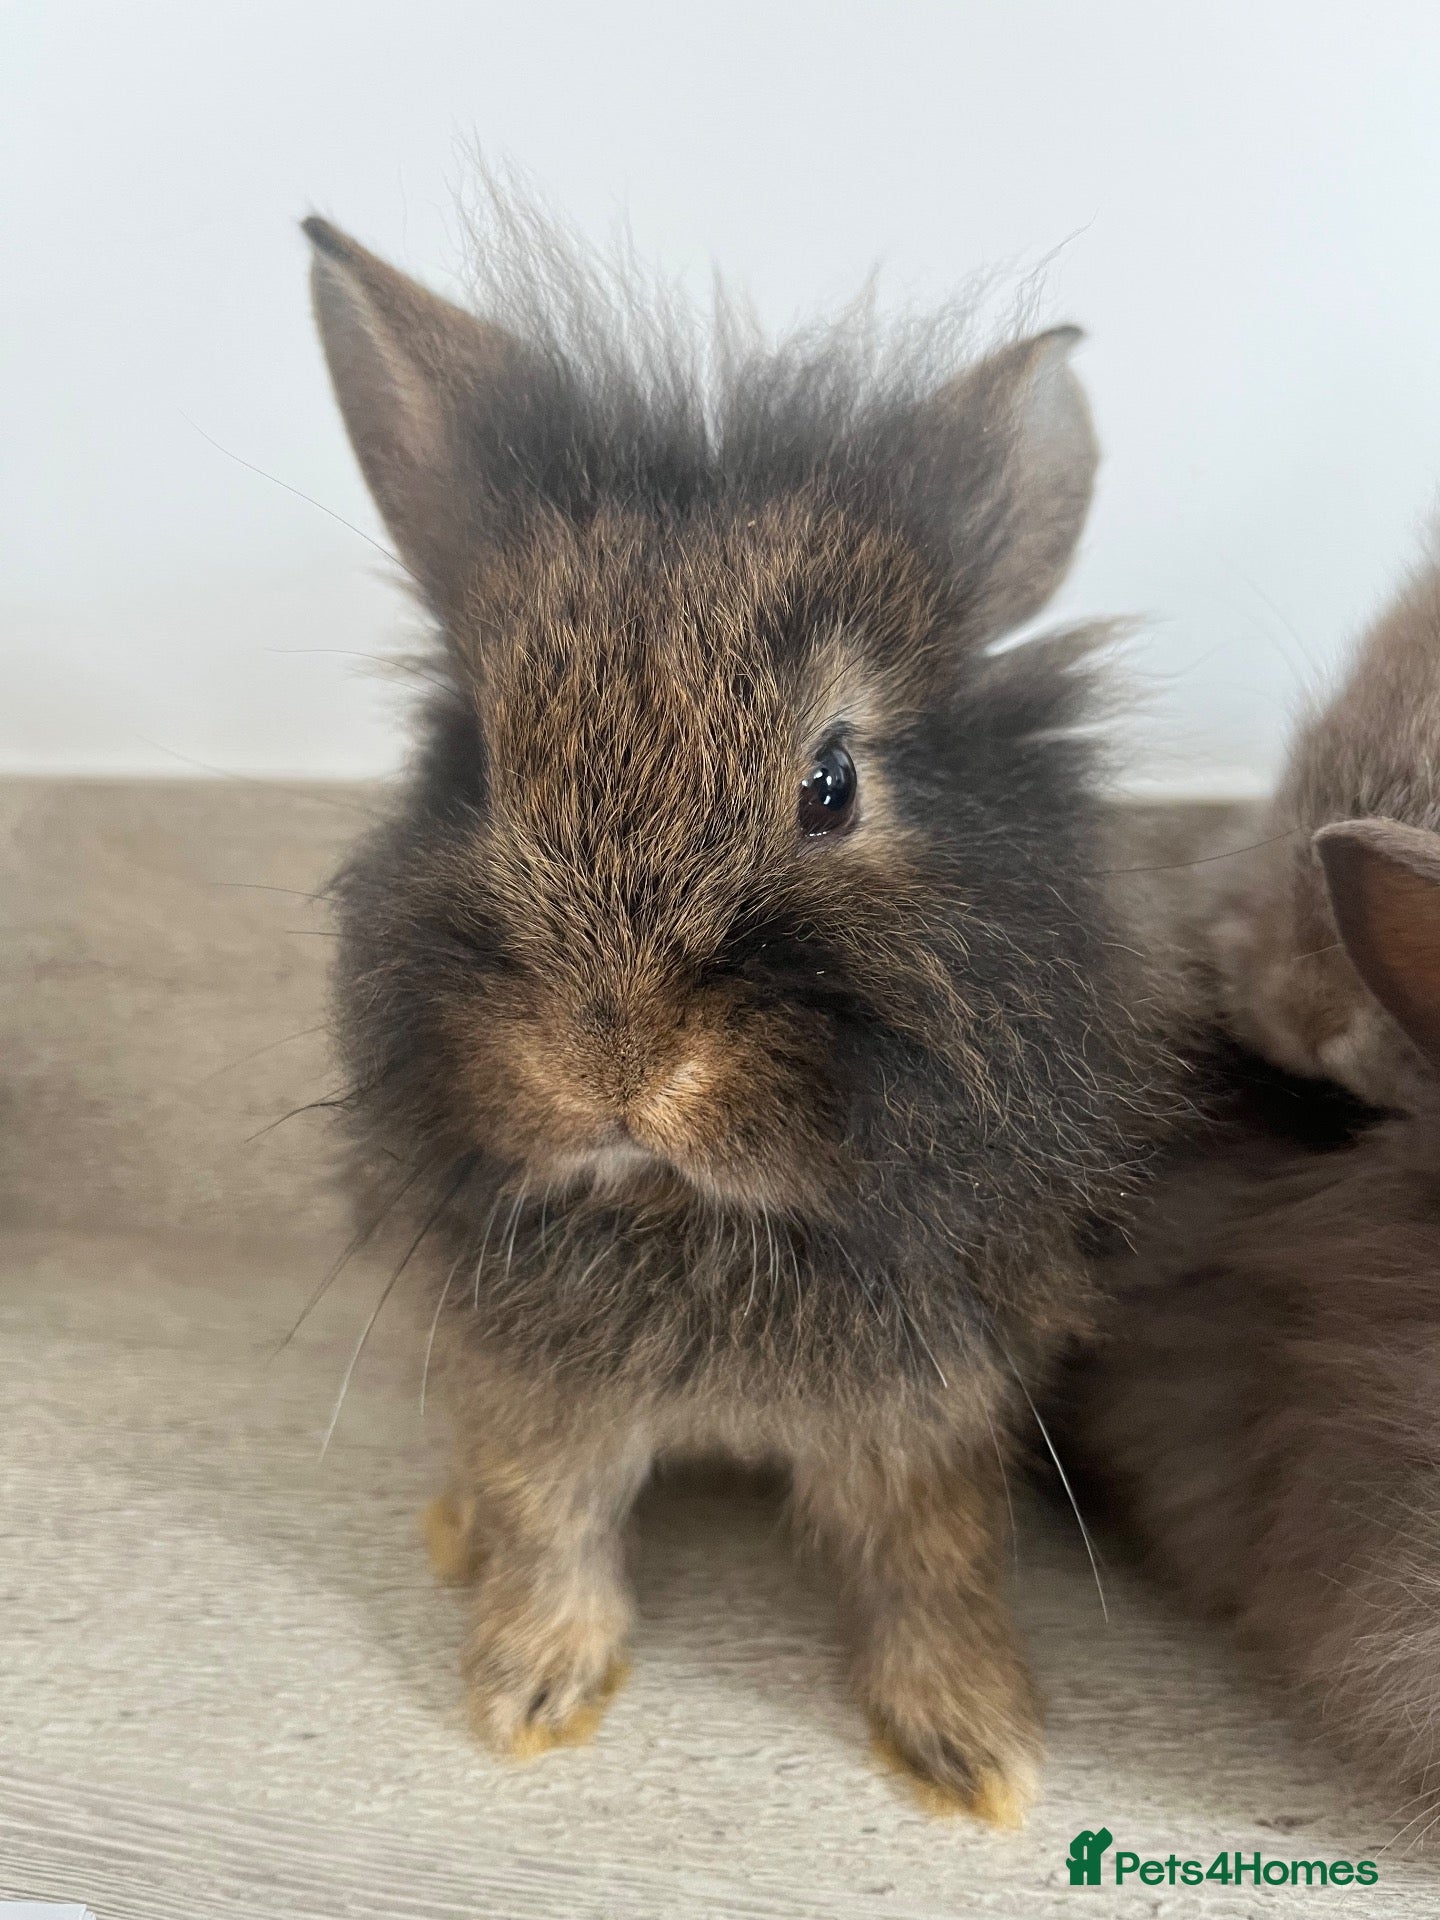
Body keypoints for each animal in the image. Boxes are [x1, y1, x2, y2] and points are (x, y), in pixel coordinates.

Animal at [302, 203, 1168, 1826]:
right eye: (481, 770)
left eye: (833, 782)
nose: (613, 1059)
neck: (684, 1209)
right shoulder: (538, 1395)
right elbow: (552, 1523)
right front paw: (528, 1695)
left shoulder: (931, 1412)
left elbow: (932, 1565)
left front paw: (977, 1752)